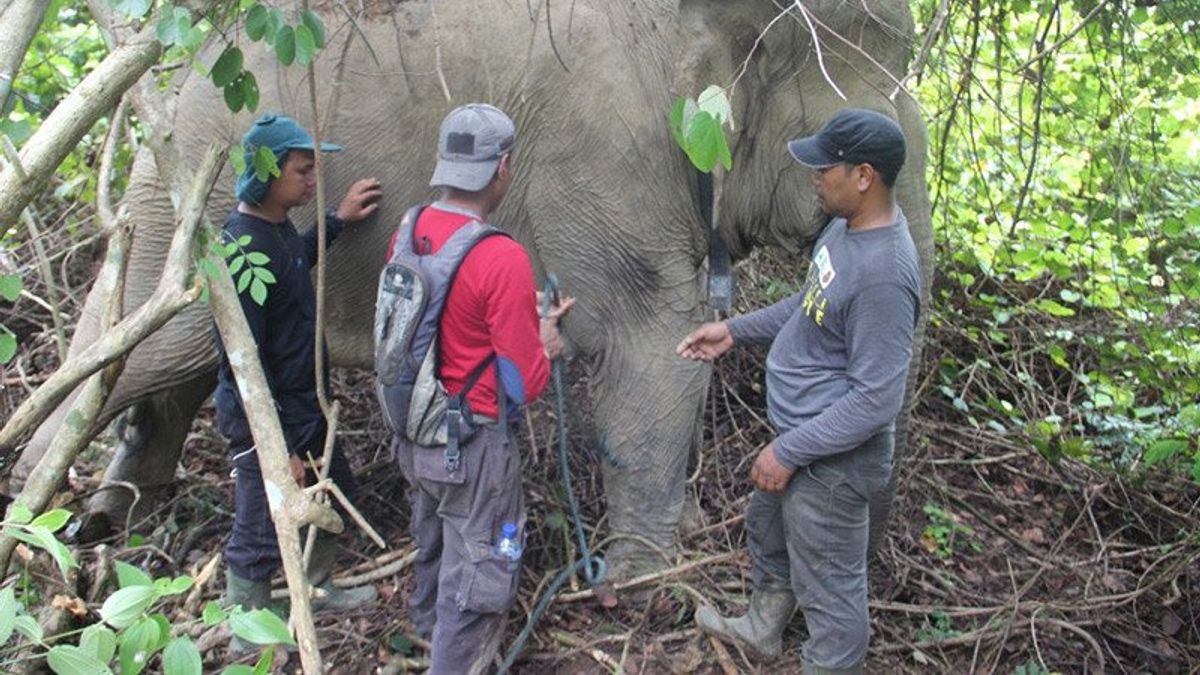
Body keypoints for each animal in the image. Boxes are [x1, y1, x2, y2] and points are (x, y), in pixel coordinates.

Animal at [16, 0, 936, 571]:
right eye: (849, 127)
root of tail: (174, 75)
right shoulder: (606, 143)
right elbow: (646, 333)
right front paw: (645, 579)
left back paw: (113, 513)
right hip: (196, 206)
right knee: (146, 347)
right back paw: (36, 506)